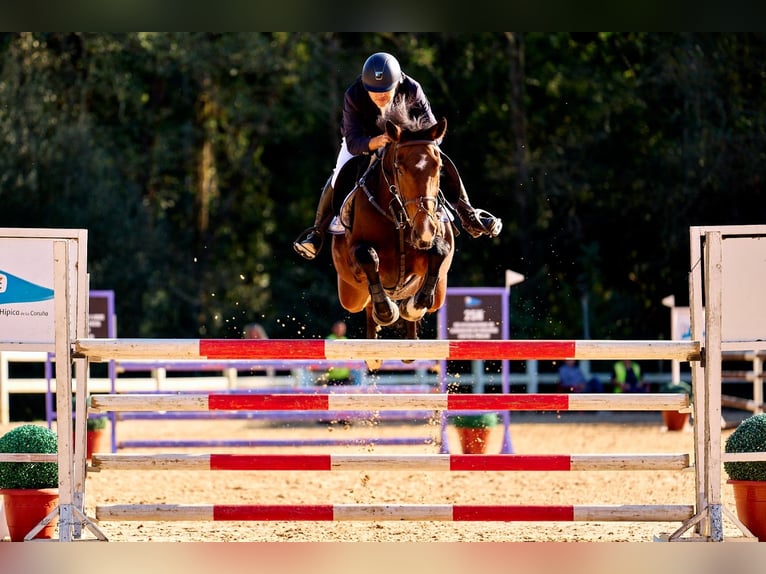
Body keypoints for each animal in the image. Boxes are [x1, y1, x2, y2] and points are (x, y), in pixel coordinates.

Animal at [331, 116, 455, 358]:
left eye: (438, 167)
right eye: (399, 168)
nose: (425, 229)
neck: (398, 217)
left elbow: (439, 250)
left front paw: (416, 305)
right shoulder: (355, 258)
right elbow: (368, 257)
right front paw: (386, 312)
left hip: (441, 293)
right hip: (351, 295)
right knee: (367, 302)